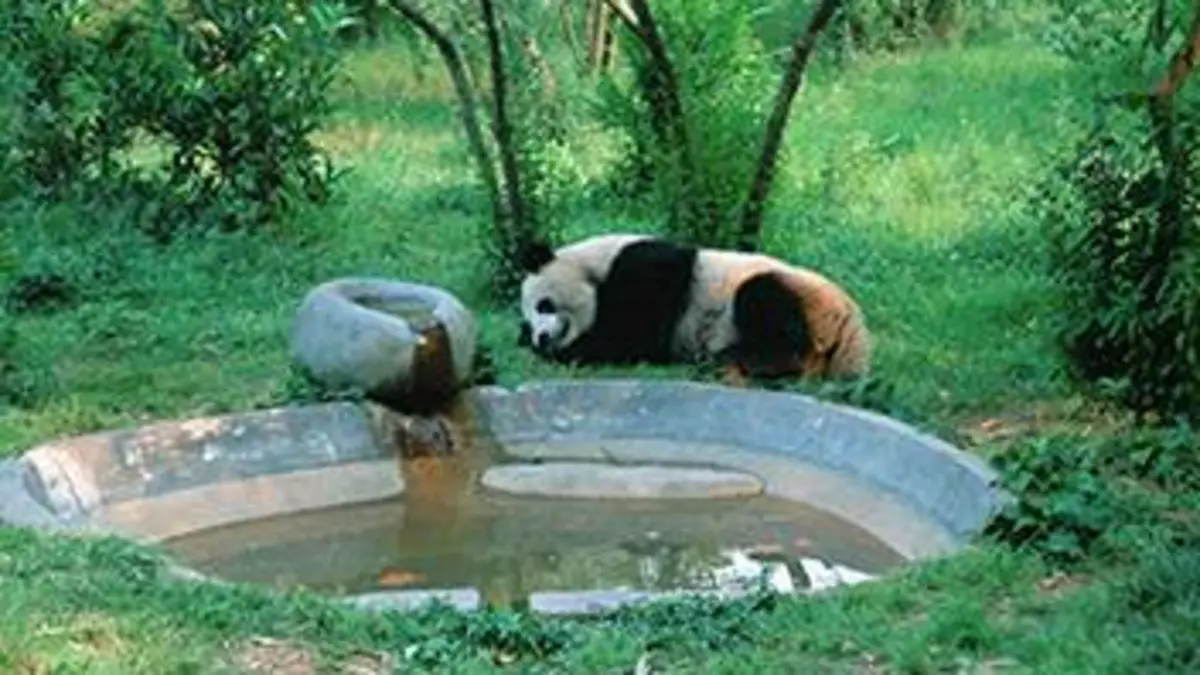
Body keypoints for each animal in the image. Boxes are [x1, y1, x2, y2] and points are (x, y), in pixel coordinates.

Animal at [516, 233, 871, 383]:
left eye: (544, 305)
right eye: (530, 321)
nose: (541, 338)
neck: (594, 263)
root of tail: (853, 326)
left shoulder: (647, 270)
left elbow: (634, 336)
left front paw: (565, 352)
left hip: (804, 299)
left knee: (764, 302)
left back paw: (730, 360)